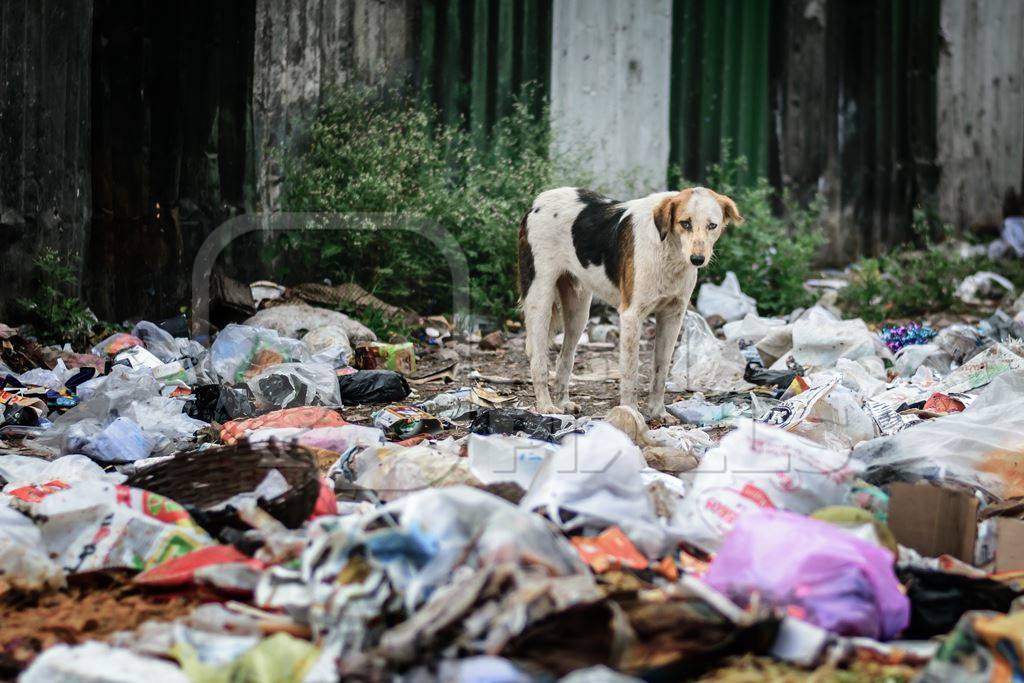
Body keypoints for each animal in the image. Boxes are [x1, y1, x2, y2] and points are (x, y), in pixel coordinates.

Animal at [520, 189, 745, 419]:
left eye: (712, 225)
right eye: (685, 223)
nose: (697, 259)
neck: (668, 249)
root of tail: (537, 201)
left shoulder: (672, 317)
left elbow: (661, 370)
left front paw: (658, 412)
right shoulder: (631, 316)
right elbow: (630, 373)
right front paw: (630, 413)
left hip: (578, 312)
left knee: (564, 358)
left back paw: (563, 402)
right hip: (540, 300)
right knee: (538, 359)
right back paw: (546, 406)